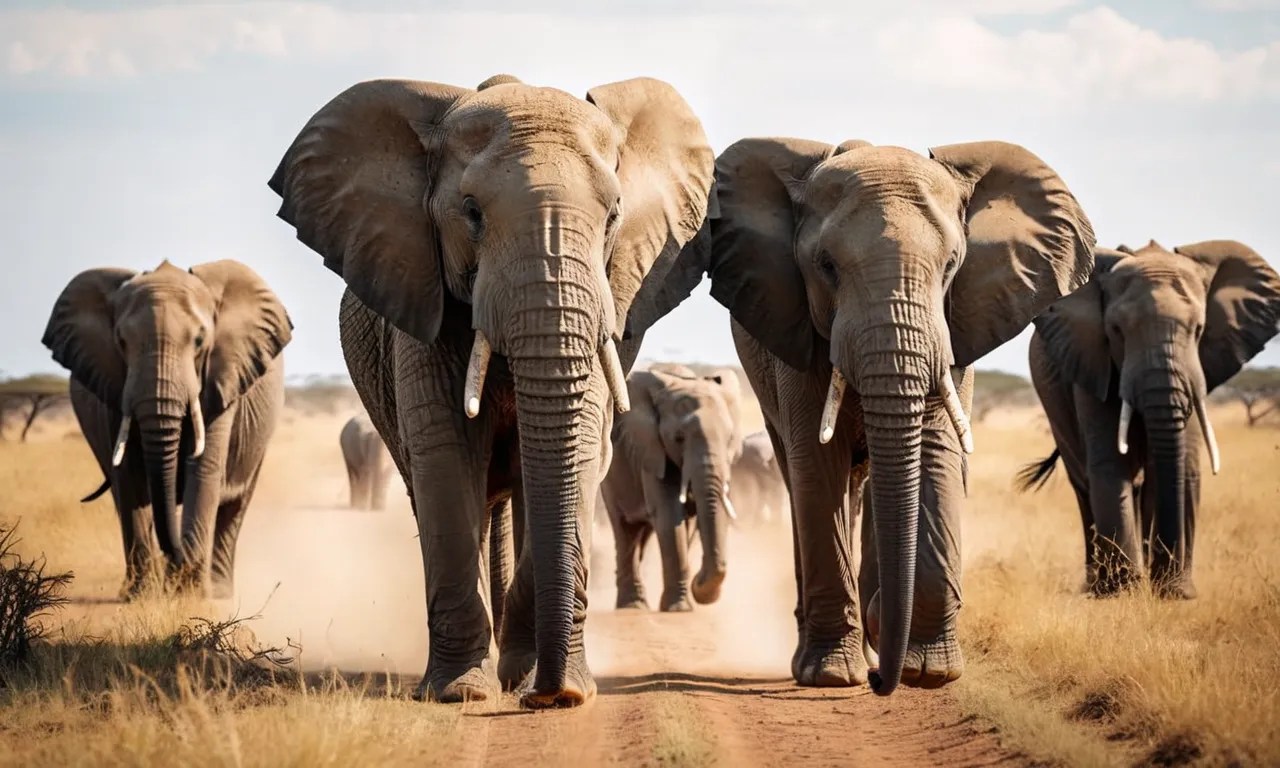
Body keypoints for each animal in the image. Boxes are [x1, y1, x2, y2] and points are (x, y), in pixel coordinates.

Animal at [42, 259, 292, 599]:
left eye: (200, 341)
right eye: (121, 343)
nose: (175, 557)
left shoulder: (220, 380)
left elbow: (203, 467)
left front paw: (188, 595)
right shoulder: (113, 386)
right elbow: (128, 476)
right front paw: (140, 597)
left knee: (235, 506)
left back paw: (219, 591)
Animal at [268, 74, 715, 707]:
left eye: (613, 217)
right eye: (471, 212)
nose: (552, 696)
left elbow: (577, 454)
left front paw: (537, 683)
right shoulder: (420, 296)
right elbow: (446, 458)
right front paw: (460, 693)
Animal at [601, 366, 744, 612]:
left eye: (730, 439)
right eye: (679, 438)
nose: (698, 580)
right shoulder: (652, 451)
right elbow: (669, 516)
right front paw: (679, 610)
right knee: (625, 529)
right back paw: (633, 607)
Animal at [706, 138, 1096, 696]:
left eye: (952, 264)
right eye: (826, 265)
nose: (877, 682)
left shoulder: (955, 326)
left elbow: (936, 455)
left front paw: (929, 673)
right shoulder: (797, 332)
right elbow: (817, 467)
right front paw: (831, 675)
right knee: (806, 480)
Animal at [1018, 240, 1280, 599]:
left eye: (1199, 330)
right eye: (1116, 331)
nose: (1173, 588)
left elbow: (1183, 467)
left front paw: (1173, 594)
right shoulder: (1093, 364)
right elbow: (1110, 465)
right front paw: (1125, 594)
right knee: (1084, 484)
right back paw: (1097, 585)